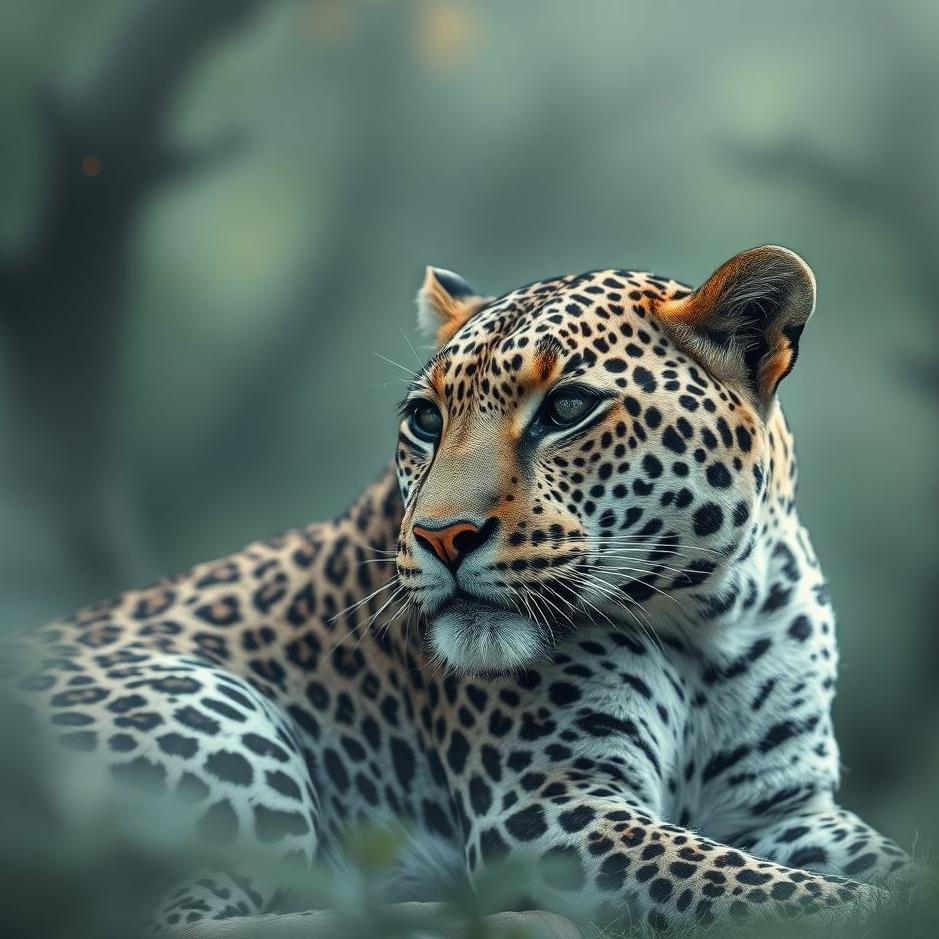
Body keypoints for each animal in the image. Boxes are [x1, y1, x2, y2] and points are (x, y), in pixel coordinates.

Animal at [5, 245, 923, 936]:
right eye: (424, 419)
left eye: (568, 407)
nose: (442, 537)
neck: (708, 622)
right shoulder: (549, 802)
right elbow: (752, 887)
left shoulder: (785, 808)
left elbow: (888, 868)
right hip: (221, 717)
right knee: (182, 914)